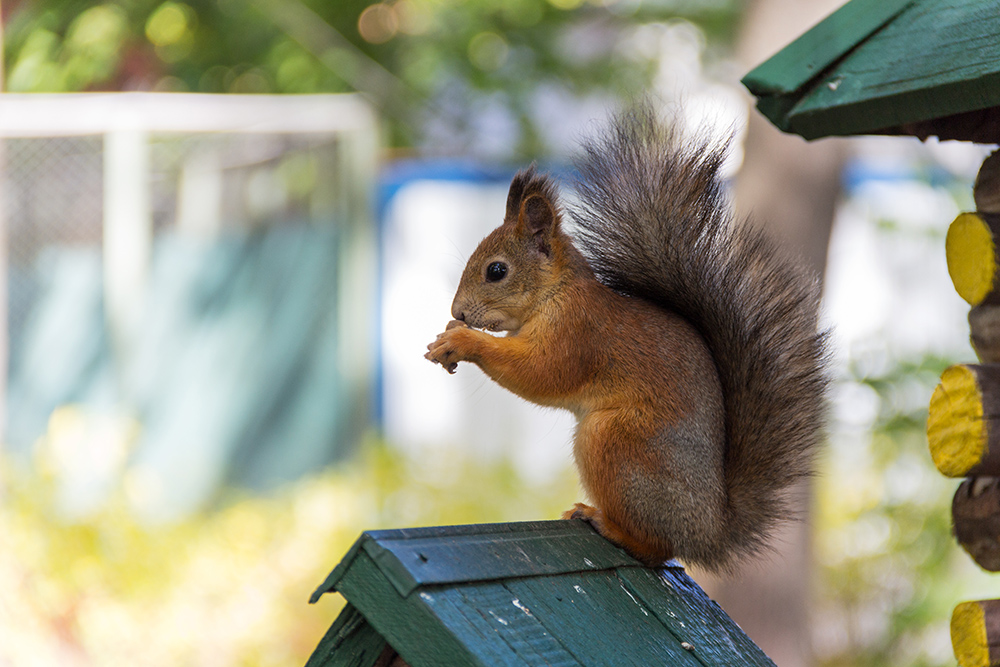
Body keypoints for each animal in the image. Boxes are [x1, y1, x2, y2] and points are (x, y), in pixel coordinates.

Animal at [422, 105, 828, 576]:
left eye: (496, 271)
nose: (458, 313)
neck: (555, 292)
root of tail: (709, 531)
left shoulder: (578, 332)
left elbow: (542, 373)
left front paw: (463, 342)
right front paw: (448, 336)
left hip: (614, 440)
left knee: (656, 547)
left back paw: (606, 523)